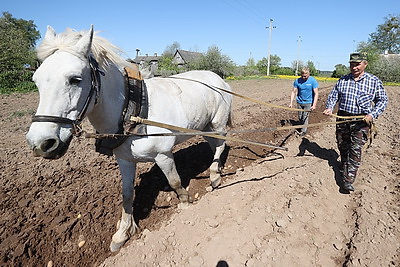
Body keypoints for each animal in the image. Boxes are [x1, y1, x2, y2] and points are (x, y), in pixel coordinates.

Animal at [26, 26, 233, 252]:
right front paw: (123, 233)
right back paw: (218, 166)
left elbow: (175, 182)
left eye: (75, 79)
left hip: (218, 122)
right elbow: (126, 195)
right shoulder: (124, 160)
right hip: (205, 126)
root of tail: (218, 78)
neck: (132, 112)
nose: (41, 143)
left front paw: (185, 204)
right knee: (215, 145)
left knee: (222, 143)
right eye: (36, 80)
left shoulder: (163, 155)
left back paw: (214, 176)